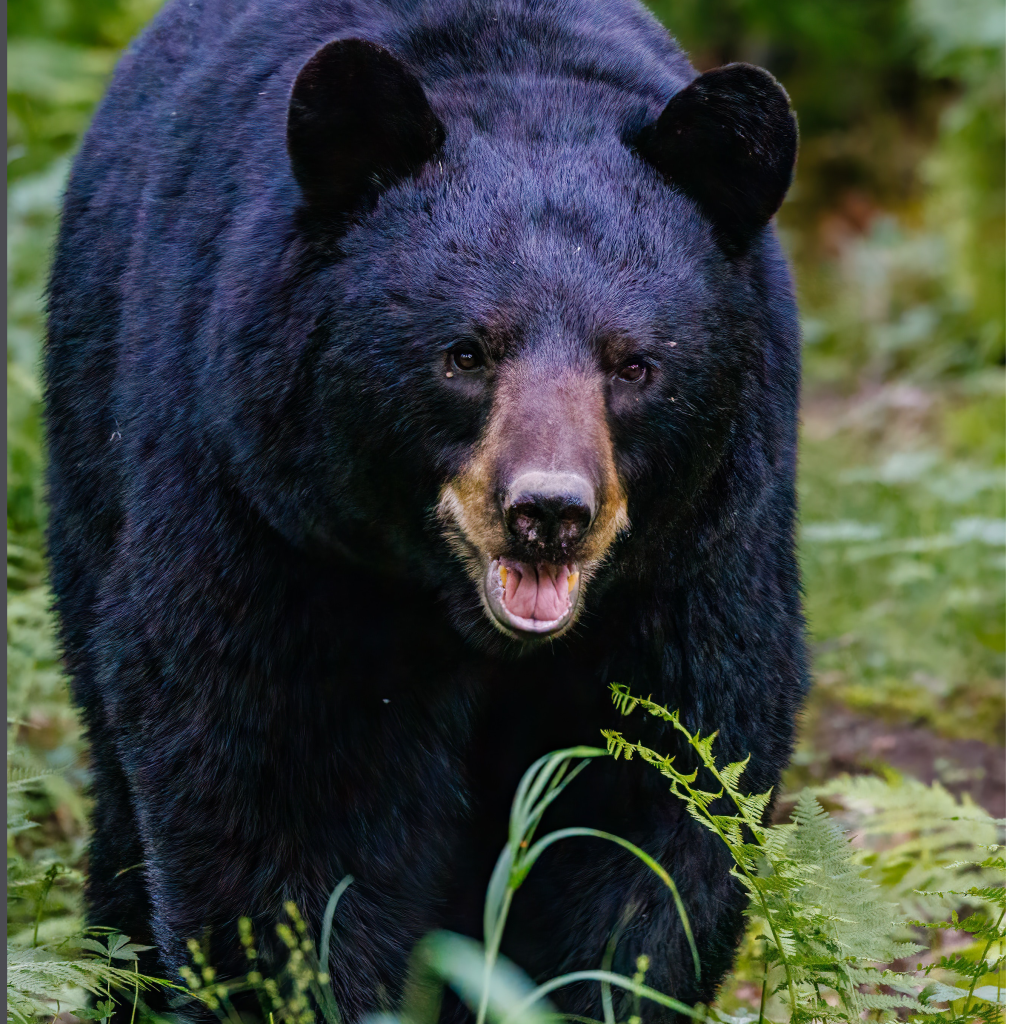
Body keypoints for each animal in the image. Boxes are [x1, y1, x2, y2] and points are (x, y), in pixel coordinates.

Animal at [43, 0, 806, 1019]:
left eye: (636, 364)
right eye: (466, 353)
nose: (548, 511)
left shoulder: (697, 556)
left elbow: (658, 799)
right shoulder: (274, 522)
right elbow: (280, 794)